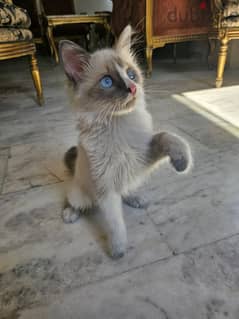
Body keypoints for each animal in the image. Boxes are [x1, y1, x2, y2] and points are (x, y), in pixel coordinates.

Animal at [59, 25, 192, 260]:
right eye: (107, 82)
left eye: (131, 74)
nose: (133, 88)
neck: (119, 124)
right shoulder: (106, 188)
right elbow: (115, 223)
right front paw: (118, 250)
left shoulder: (141, 158)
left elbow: (167, 136)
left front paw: (181, 162)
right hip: (81, 192)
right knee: (74, 200)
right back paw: (70, 214)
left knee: (126, 190)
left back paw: (136, 198)